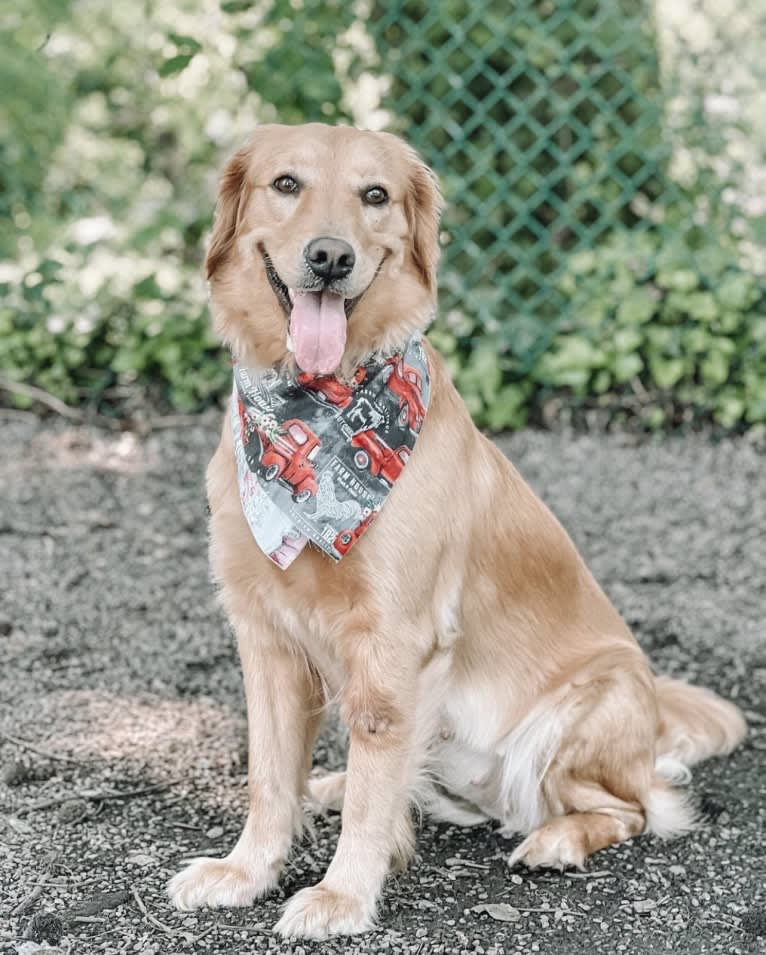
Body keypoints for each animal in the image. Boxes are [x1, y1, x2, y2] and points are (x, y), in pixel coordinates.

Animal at [166, 123, 744, 936]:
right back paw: (336, 783)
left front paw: (343, 895)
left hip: (580, 713)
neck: (321, 402)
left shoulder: (394, 635)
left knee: (633, 807)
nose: (330, 257)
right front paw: (247, 871)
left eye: (375, 195)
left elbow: (375, 782)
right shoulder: (265, 632)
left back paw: (556, 839)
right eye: (286, 184)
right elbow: (270, 775)